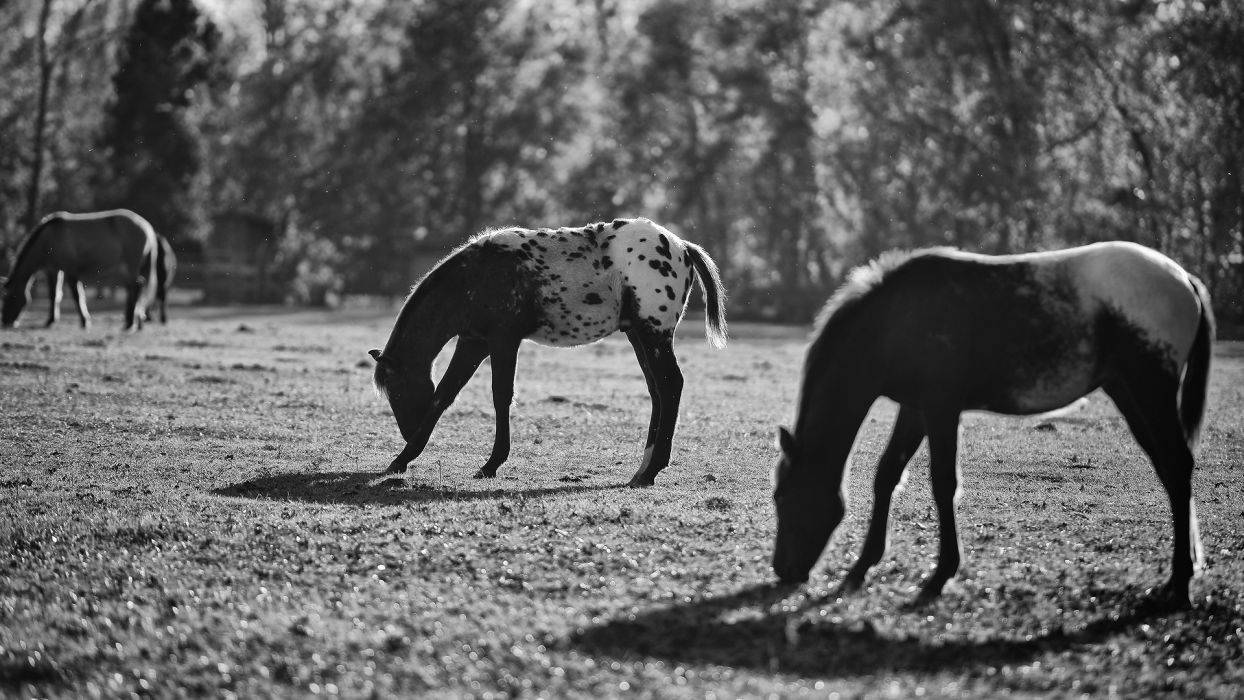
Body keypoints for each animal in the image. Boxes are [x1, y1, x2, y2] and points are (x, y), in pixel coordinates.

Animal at [1, 209, 159, 330]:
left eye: (10, 297)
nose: (6, 321)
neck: (49, 237)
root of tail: (147, 227)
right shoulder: (53, 270)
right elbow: (54, 295)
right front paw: (50, 320)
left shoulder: (71, 271)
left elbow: (77, 296)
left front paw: (84, 321)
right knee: (133, 290)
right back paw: (135, 322)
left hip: (131, 266)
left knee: (136, 287)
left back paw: (131, 323)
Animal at [369, 217, 728, 487]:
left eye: (396, 392)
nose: (408, 431)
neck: (477, 277)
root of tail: (682, 246)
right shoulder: (473, 342)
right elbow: (444, 394)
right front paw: (402, 459)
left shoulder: (503, 339)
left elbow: (501, 395)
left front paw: (491, 464)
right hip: (639, 336)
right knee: (658, 391)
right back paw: (644, 468)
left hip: (653, 335)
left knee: (670, 386)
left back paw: (650, 471)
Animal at [771, 241, 1214, 608]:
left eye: (782, 497)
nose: (782, 570)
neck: (895, 320)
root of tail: (1183, 278)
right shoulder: (915, 409)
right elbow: (887, 476)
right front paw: (860, 569)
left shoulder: (941, 408)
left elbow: (943, 483)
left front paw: (940, 575)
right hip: (1129, 393)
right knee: (1169, 468)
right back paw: (1187, 568)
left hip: (1150, 392)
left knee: (1177, 465)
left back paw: (1180, 583)